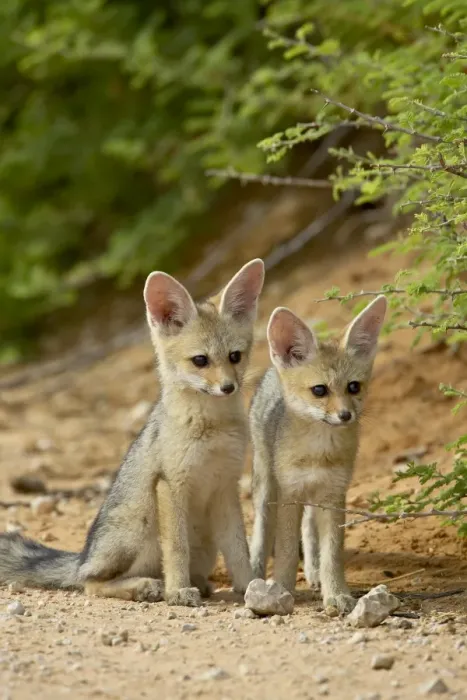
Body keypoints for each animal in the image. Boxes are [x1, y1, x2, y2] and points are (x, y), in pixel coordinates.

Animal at [0, 259, 265, 606]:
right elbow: (176, 549)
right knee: (92, 584)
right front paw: (178, 591)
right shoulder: (170, 485)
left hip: (203, 542)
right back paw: (146, 586)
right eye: (200, 360)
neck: (212, 430)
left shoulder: (225, 488)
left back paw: (194, 584)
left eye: (235, 356)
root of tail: (82, 558)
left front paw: (251, 588)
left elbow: (238, 550)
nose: (228, 387)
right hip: (140, 530)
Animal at [249, 295, 387, 613]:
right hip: (266, 485)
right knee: (262, 529)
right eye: (320, 390)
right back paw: (254, 572)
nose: (346, 415)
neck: (319, 455)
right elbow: (286, 550)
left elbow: (332, 554)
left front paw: (336, 593)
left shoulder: (334, 494)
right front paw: (281, 590)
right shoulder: (290, 492)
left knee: (309, 531)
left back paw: (313, 573)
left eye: (353, 387)